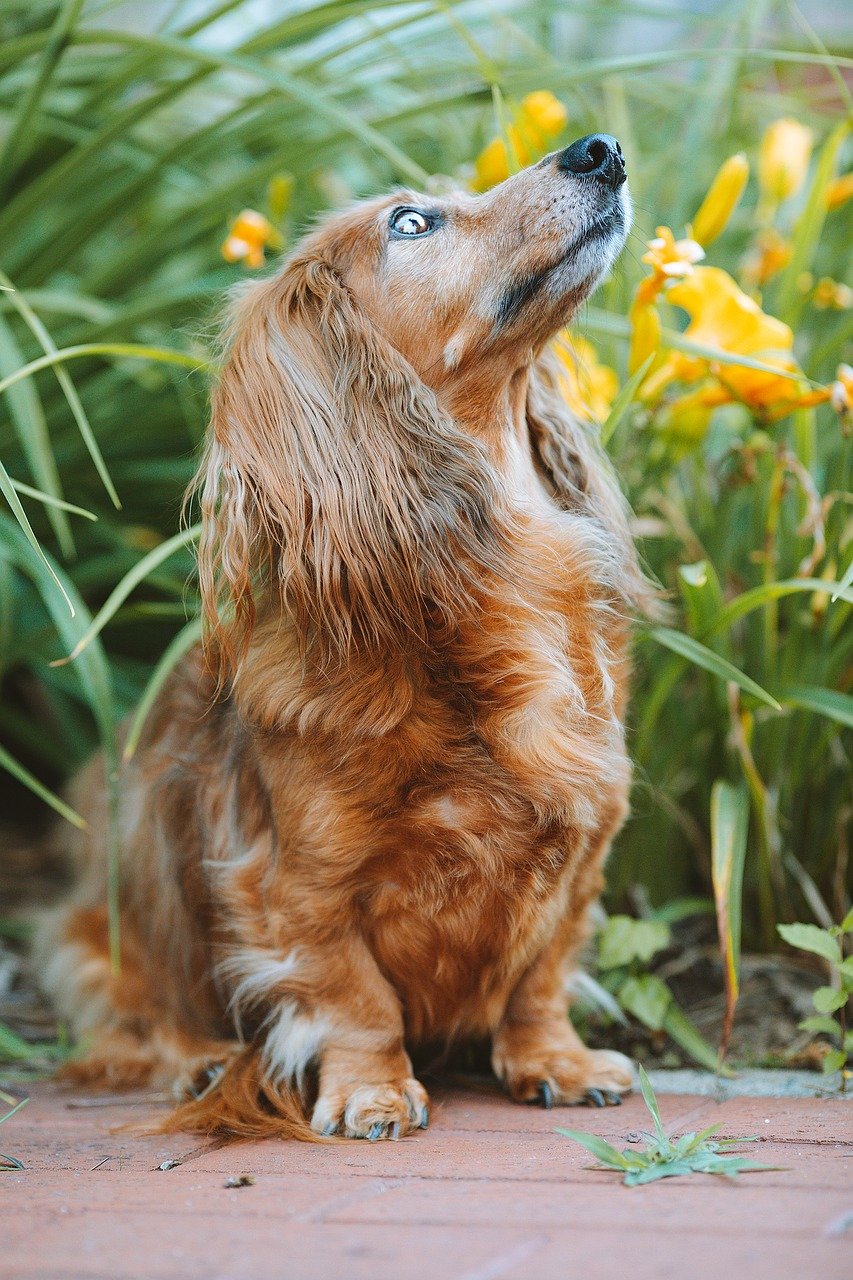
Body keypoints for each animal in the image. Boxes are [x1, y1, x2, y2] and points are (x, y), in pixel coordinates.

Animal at [36, 135, 650, 1141]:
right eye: (411, 222)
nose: (599, 151)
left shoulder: (587, 846)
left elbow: (540, 974)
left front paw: (552, 1061)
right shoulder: (299, 888)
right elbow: (355, 997)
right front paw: (371, 1090)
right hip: (106, 931)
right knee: (140, 1020)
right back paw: (202, 1063)